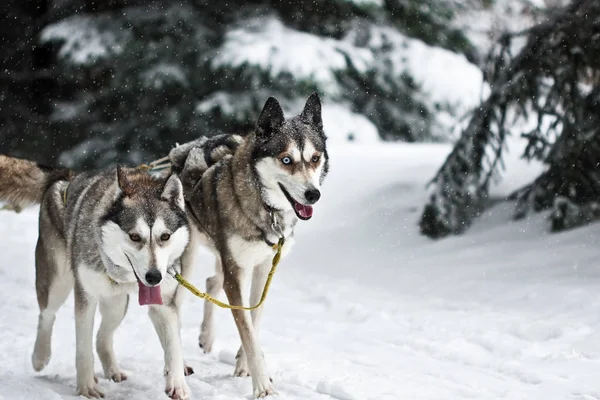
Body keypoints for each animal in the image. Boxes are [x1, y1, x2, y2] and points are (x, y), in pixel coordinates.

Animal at [0, 158, 192, 398]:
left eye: (165, 236)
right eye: (134, 236)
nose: (154, 277)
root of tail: (68, 175)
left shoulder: (165, 302)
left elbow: (173, 345)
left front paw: (177, 383)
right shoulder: (86, 296)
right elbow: (83, 348)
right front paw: (86, 387)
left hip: (116, 303)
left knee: (102, 337)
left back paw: (112, 370)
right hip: (58, 282)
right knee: (47, 314)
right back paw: (40, 356)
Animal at [168, 93, 328, 396]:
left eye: (315, 158)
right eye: (286, 159)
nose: (313, 194)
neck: (266, 210)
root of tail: (179, 154)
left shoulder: (263, 267)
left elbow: (254, 319)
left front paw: (244, 365)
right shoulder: (236, 271)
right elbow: (247, 330)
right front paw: (262, 384)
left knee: (211, 282)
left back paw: (207, 336)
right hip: (189, 258)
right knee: (177, 303)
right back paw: (179, 365)